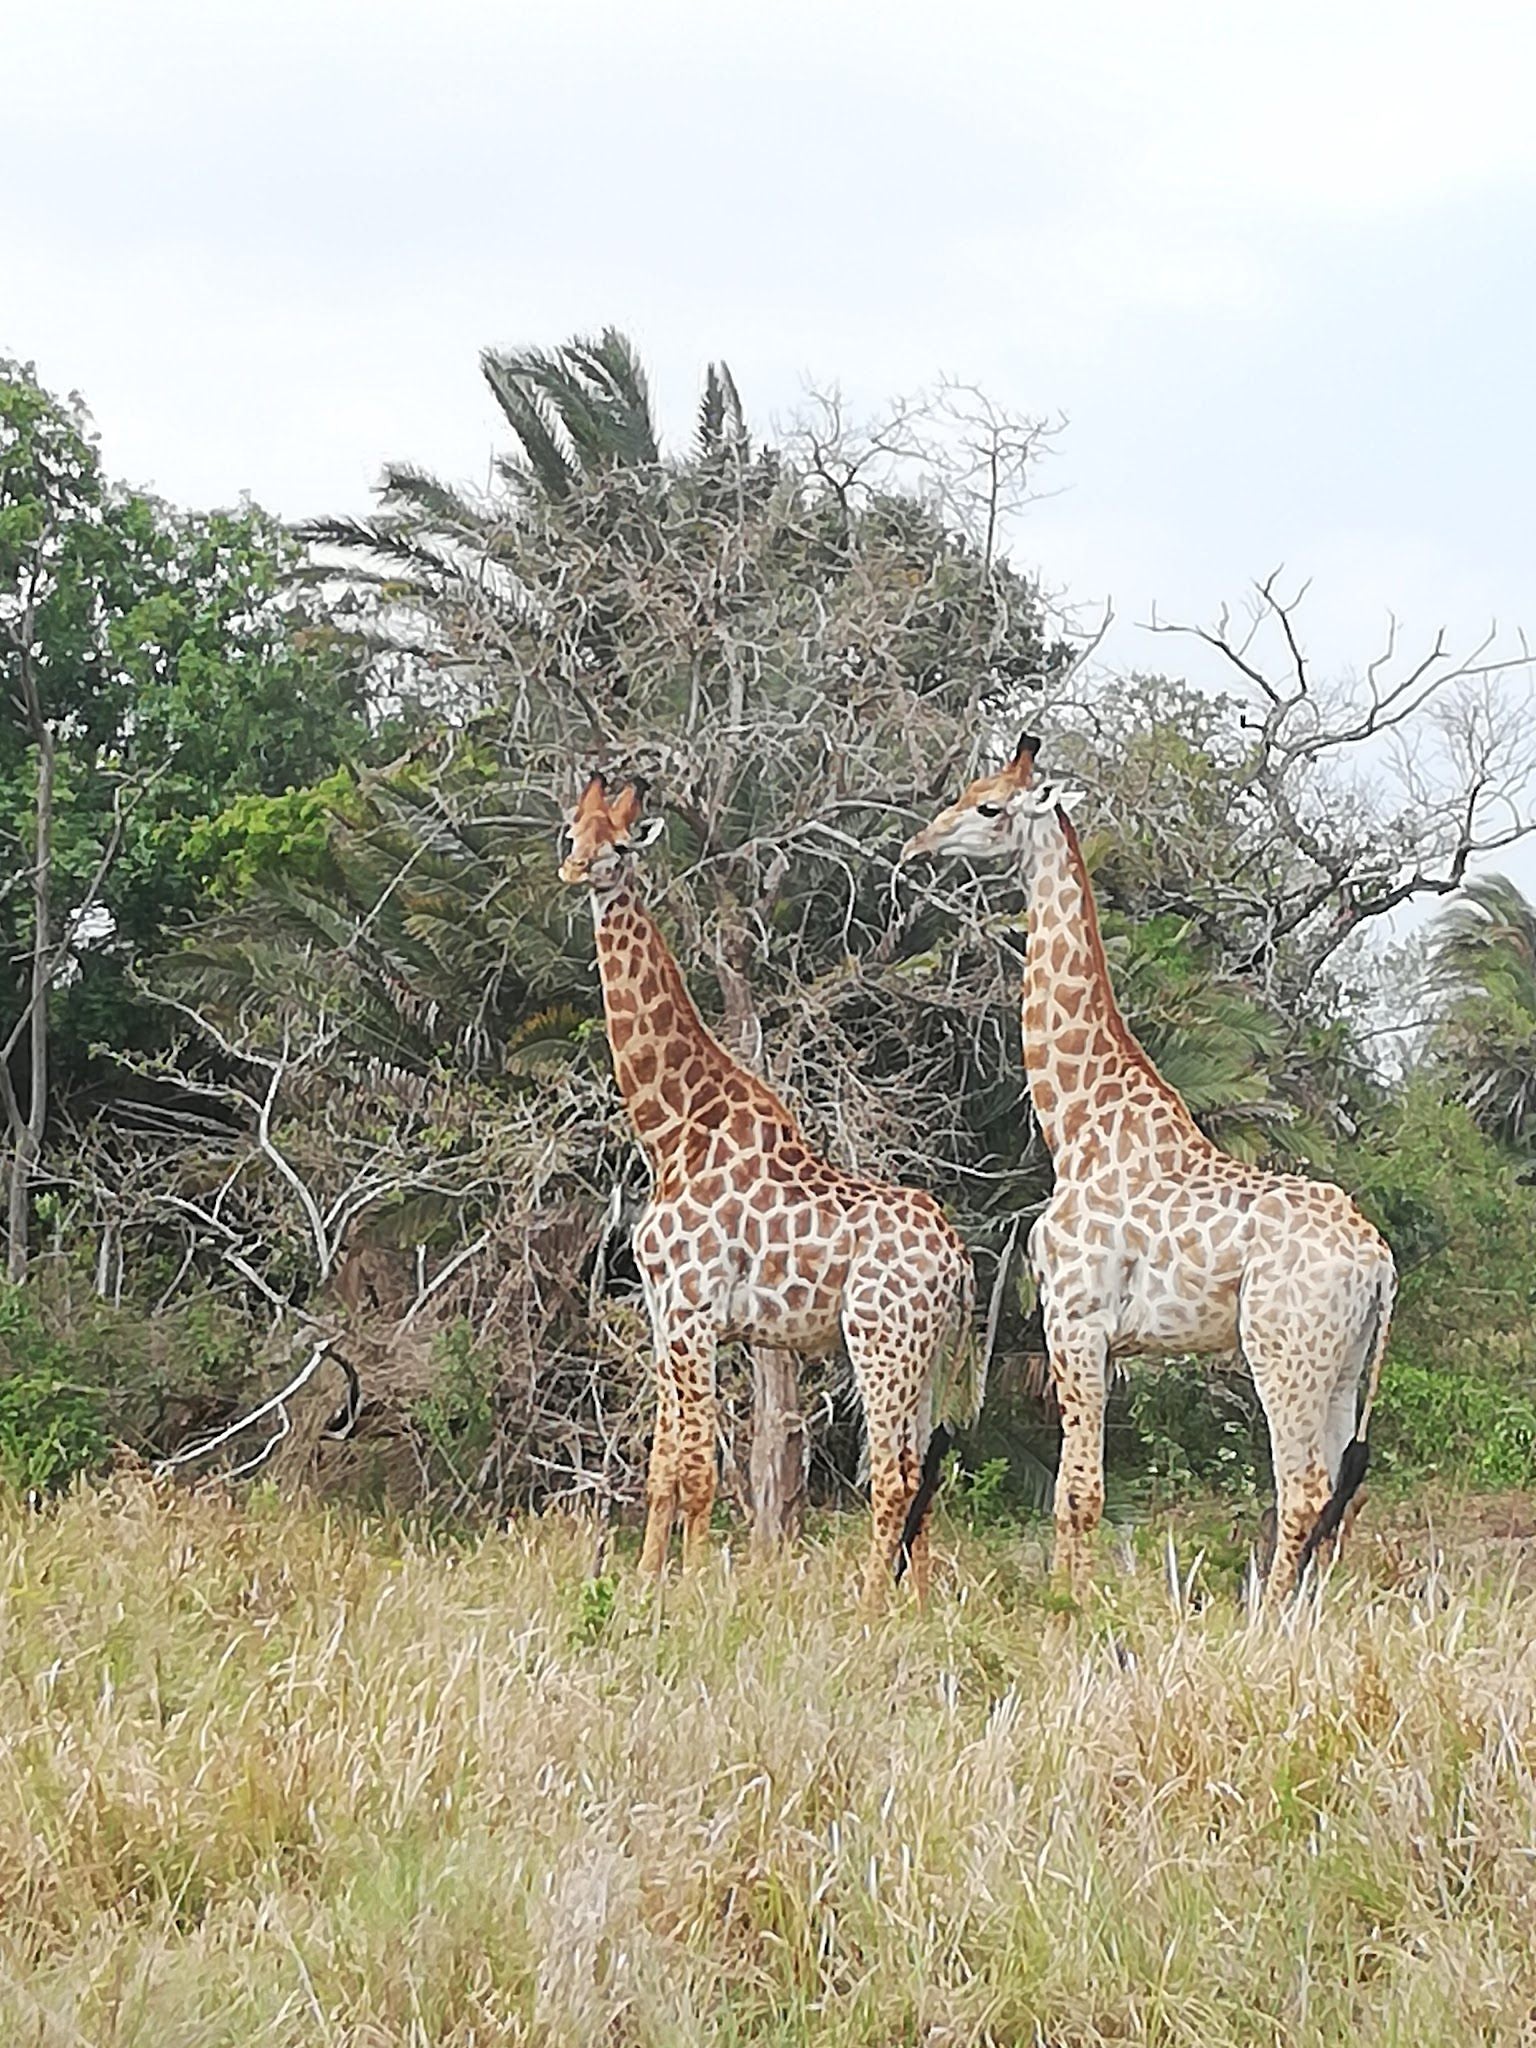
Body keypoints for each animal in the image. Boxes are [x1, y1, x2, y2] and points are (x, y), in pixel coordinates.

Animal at [561, 770, 978, 1597]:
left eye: (620, 846)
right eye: (571, 832)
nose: (575, 872)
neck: (673, 1131)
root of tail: (958, 1261)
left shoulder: (695, 1308)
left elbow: (698, 1468)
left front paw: (694, 1586)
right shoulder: (666, 1309)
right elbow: (662, 1463)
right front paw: (646, 1580)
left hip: (879, 1340)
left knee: (891, 1476)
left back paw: (869, 1604)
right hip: (923, 1354)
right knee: (919, 1472)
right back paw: (915, 1606)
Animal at [909, 729, 1400, 1605]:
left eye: (989, 806)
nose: (917, 845)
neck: (1077, 1126)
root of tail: (1380, 1264)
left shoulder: (1076, 1319)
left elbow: (1078, 1492)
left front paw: (1068, 1604)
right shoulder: (1097, 1340)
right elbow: (1079, 1488)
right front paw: (1070, 1595)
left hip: (1283, 1350)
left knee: (1304, 1487)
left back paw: (1267, 1616)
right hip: (1344, 1363)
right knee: (1345, 1492)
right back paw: (1316, 1614)